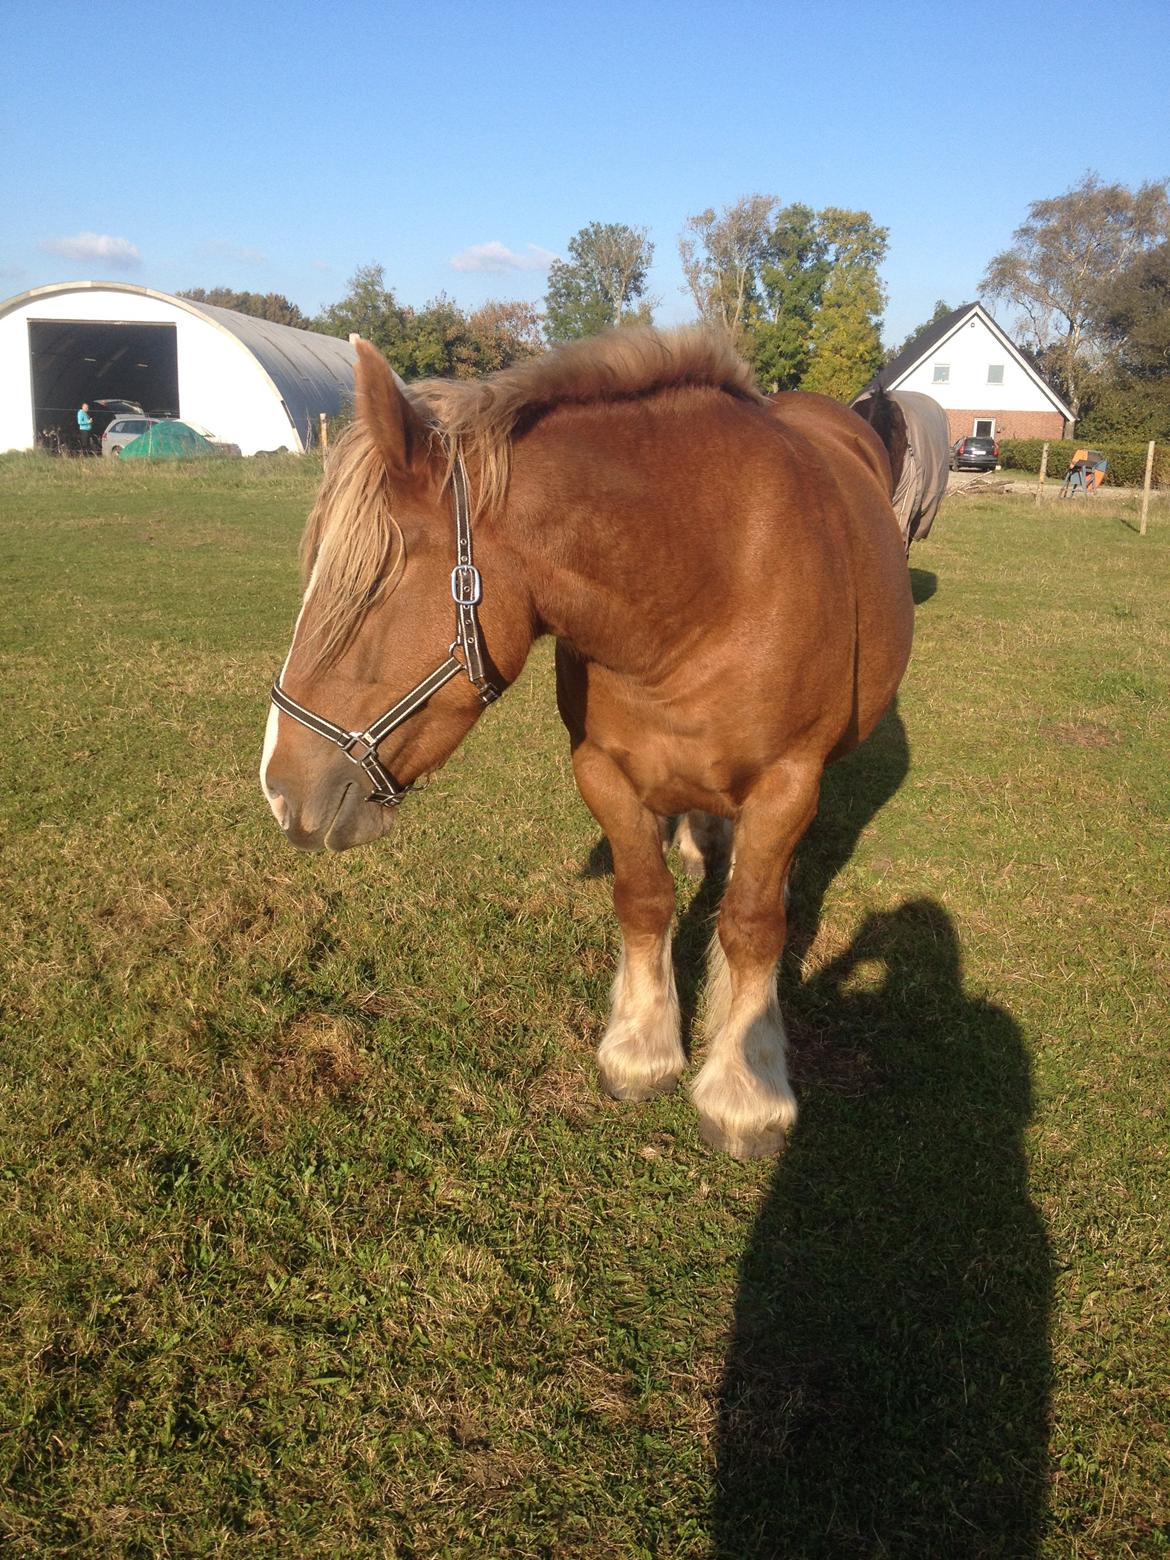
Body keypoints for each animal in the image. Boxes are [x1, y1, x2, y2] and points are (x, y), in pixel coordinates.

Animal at [263, 329, 917, 1160]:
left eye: (371, 590)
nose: (280, 787)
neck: (707, 587)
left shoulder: (787, 782)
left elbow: (751, 924)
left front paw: (746, 1091)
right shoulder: (602, 770)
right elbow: (643, 898)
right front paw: (641, 1048)